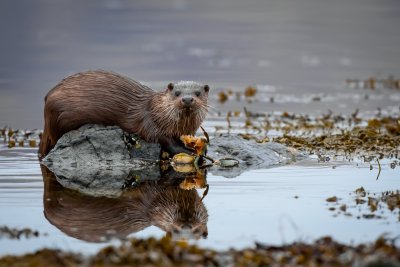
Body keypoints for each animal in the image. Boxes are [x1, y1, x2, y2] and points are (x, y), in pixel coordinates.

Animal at [39, 70, 211, 160]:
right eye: (177, 93)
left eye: (197, 93)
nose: (187, 99)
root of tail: (47, 97)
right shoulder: (151, 123)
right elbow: (166, 141)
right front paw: (188, 151)